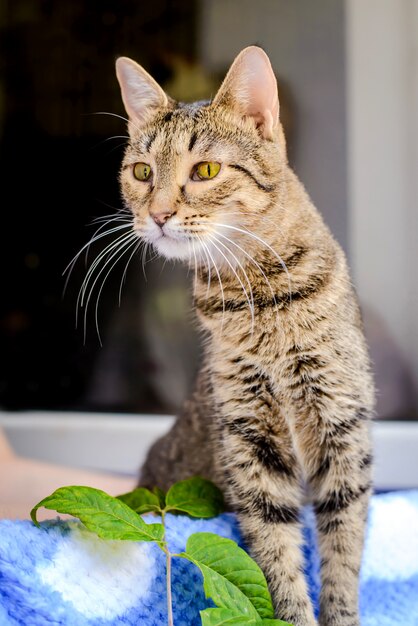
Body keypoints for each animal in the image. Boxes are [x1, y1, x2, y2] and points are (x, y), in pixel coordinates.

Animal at [114, 45, 376, 624]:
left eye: (206, 169)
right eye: (142, 172)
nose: (157, 214)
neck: (263, 297)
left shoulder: (342, 432)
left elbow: (342, 557)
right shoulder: (248, 443)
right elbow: (277, 557)